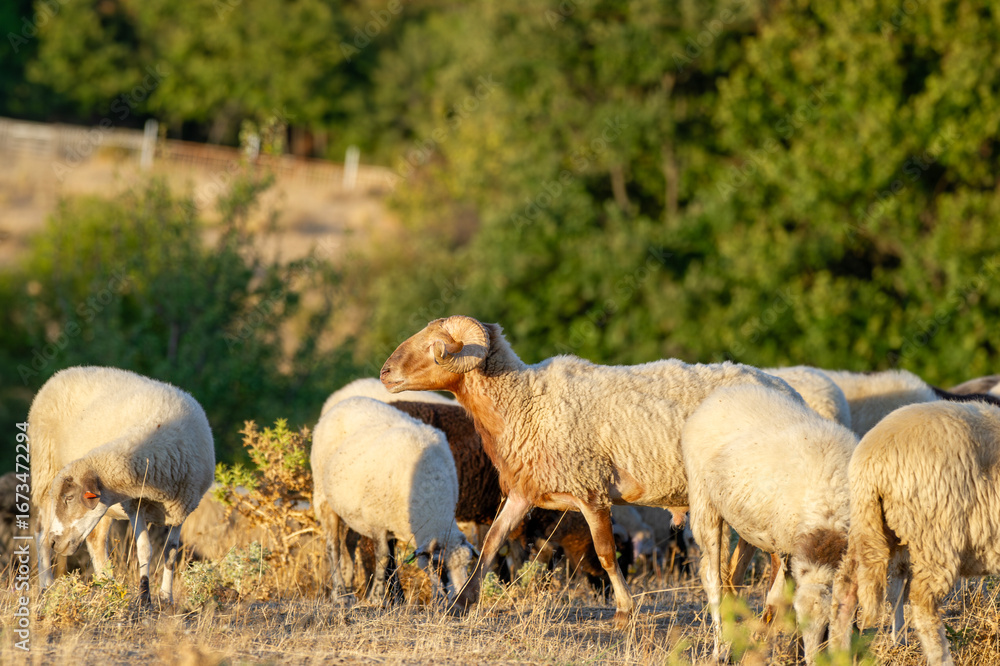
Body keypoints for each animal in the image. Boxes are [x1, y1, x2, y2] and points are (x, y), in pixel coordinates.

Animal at [29, 366, 214, 604]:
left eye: (69, 498)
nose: (56, 542)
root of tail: (62, 373)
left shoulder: (182, 509)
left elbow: (170, 553)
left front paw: (166, 598)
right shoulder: (135, 504)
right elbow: (144, 550)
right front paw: (145, 598)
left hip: (101, 509)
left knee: (96, 540)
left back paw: (109, 587)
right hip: (45, 472)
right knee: (40, 533)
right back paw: (47, 587)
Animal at [310, 396, 477, 603]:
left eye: (467, 565)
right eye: (440, 567)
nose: (464, 601)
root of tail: (347, 400)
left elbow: (392, 561)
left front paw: (424, 599)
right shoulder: (377, 520)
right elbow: (383, 557)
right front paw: (377, 598)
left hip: (352, 510)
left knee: (348, 543)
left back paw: (349, 588)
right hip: (323, 498)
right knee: (333, 547)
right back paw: (340, 593)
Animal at [379, 315, 801, 628]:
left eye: (433, 347)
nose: (384, 373)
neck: (524, 403)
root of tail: (787, 389)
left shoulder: (591, 491)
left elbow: (606, 554)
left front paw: (624, 612)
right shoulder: (525, 492)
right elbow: (492, 542)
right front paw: (462, 603)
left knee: (776, 556)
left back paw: (770, 612)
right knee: (753, 550)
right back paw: (742, 602)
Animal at [682, 384, 858, 664]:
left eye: (827, 626)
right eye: (801, 621)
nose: (812, 661)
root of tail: (725, 393)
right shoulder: (788, 551)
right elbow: (778, 603)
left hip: (745, 521)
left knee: (733, 575)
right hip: (703, 503)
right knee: (713, 580)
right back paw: (720, 649)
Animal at [830, 400, 1000, 665]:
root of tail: (870, 461)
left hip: (870, 524)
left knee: (845, 586)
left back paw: (835, 654)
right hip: (937, 533)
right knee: (922, 602)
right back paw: (942, 658)